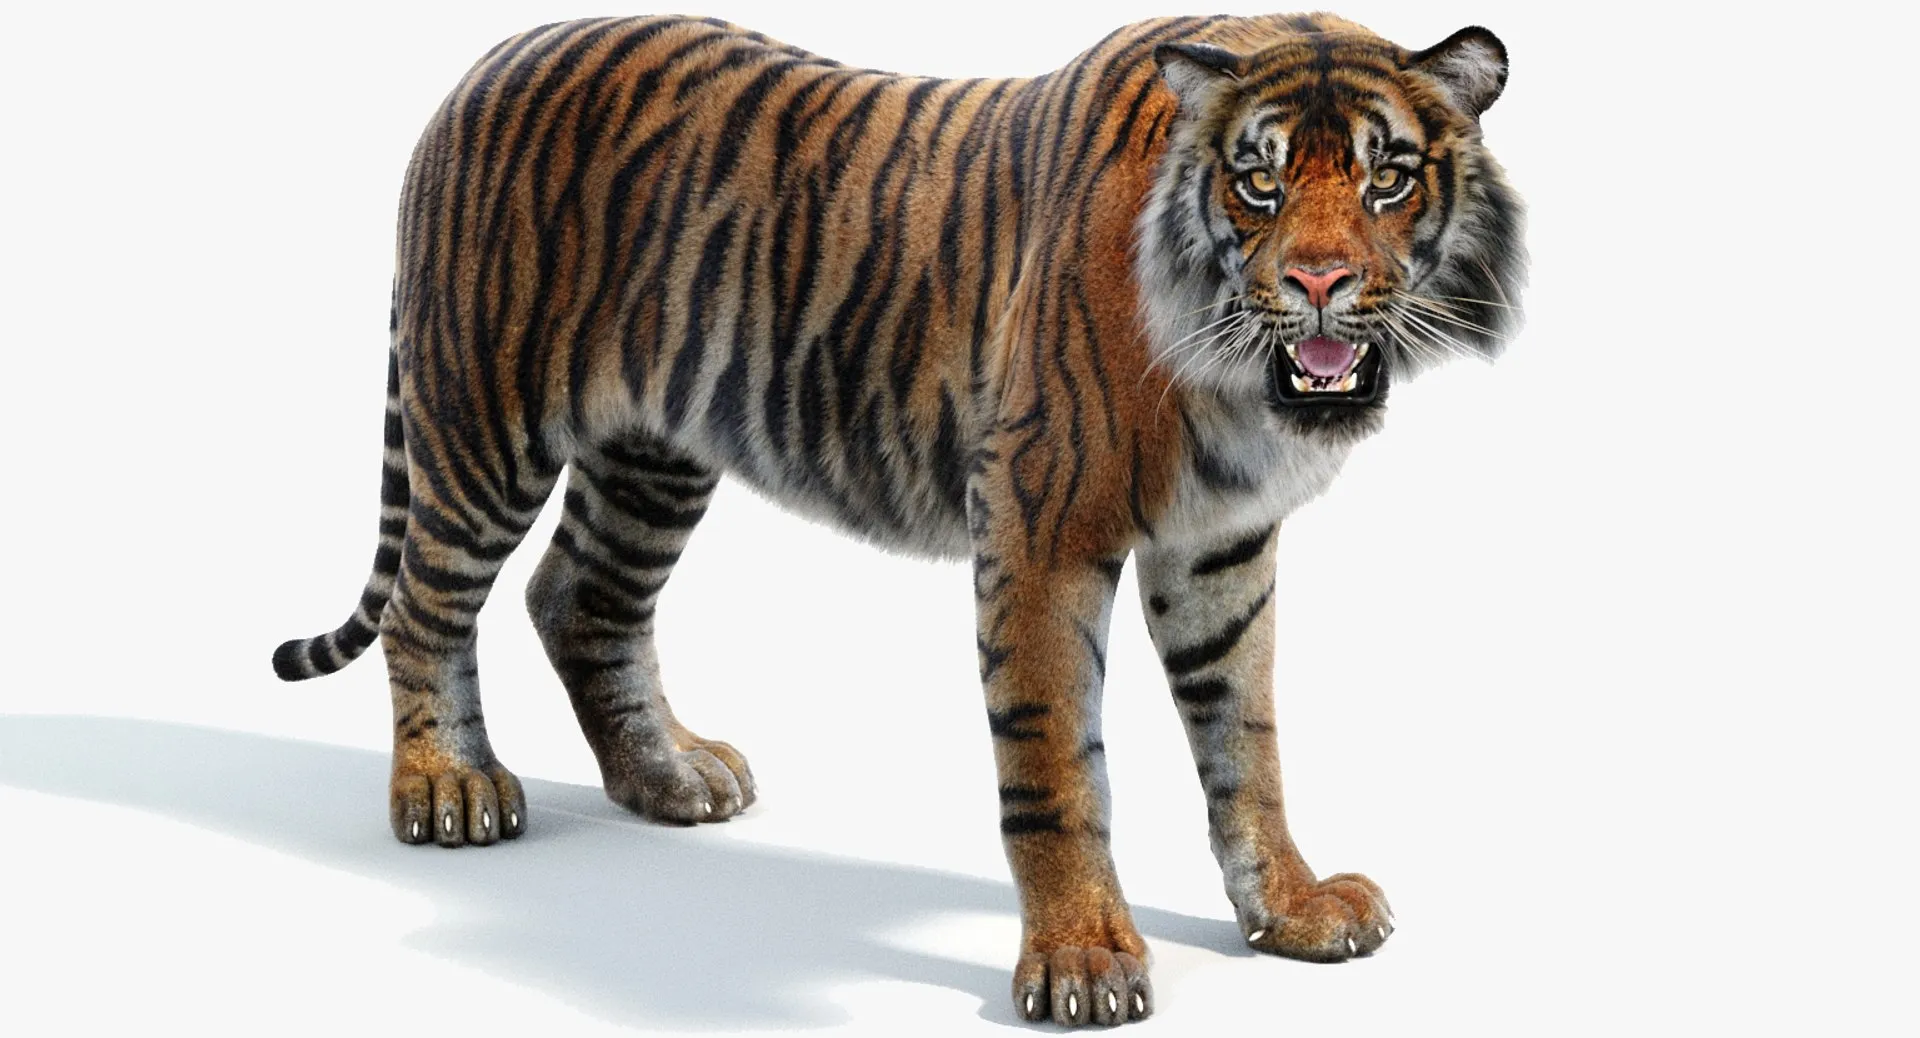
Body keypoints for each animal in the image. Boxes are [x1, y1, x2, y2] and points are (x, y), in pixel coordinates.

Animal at [273, 11, 1524, 1027]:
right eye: (1257, 182)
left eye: (1387, 178)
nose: (1316, 283)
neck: (1235, 381)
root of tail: (493, 56)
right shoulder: (1038, 518)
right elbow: (1055, 764)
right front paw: (1082, 964)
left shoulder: (1220, 543)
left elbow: (1246, 738)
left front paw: (1294, 909)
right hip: (484, 415)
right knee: (428, 607)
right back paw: (449, 790)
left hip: (650, 453)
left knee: (577, 596)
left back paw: (670, 777)